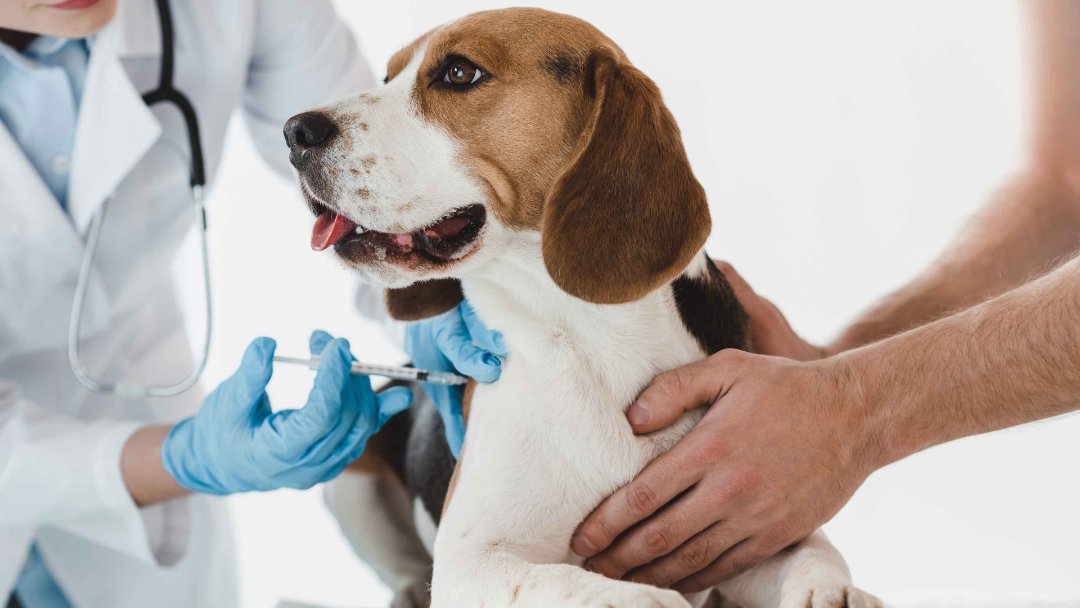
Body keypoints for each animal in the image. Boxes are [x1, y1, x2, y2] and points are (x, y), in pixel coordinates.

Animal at [285, 9, 876, 608]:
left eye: (458, 72)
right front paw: (652, 600)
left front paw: (836, 591)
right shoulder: (470, 564)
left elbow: (814, 554)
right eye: (387, 77)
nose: (295, 132)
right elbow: (587, 586)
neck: (589, 340)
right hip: (351, 478)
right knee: (404, 571)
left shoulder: (739, 524)